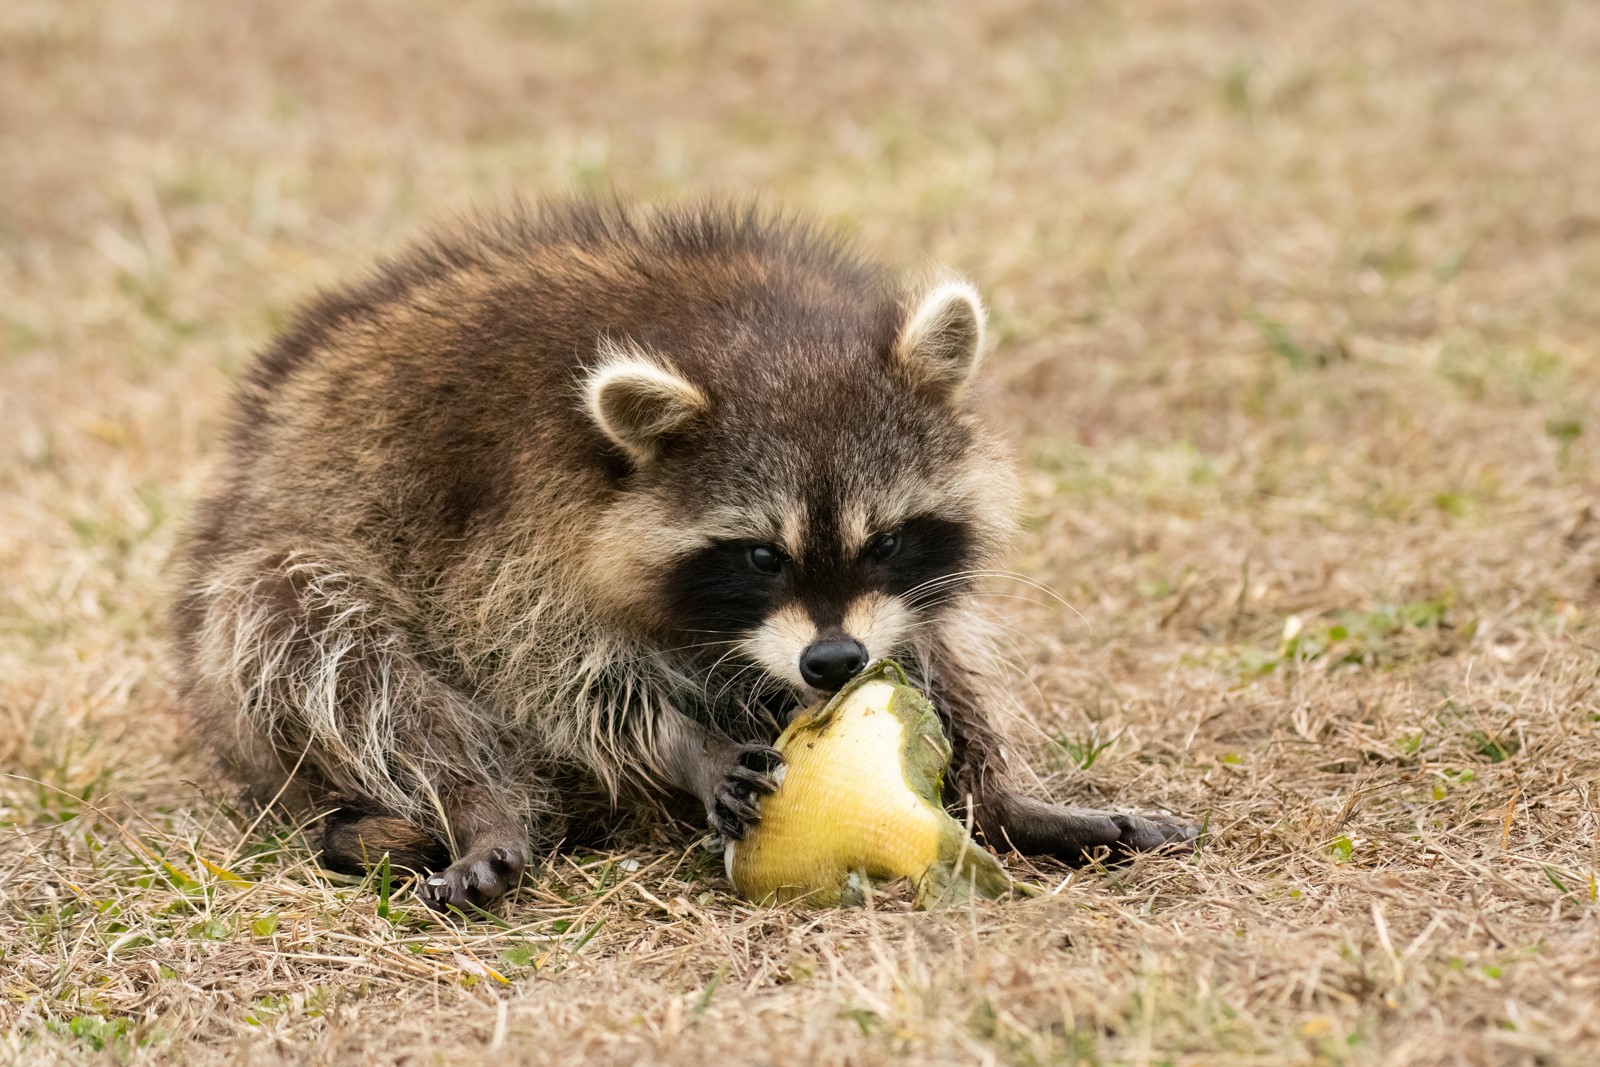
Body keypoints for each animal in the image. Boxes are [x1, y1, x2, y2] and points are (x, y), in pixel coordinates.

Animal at [178, 199, 1203, 908]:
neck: (753, 332)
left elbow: (933, 644)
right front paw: (682, 740)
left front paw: (990, 779)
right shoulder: (514, 510)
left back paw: (998, 801)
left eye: (887, 540)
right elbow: (537, 658)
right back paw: (476, 796)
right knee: (314, 633)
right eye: (760, 557)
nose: (834, 661)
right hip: (255, 635)